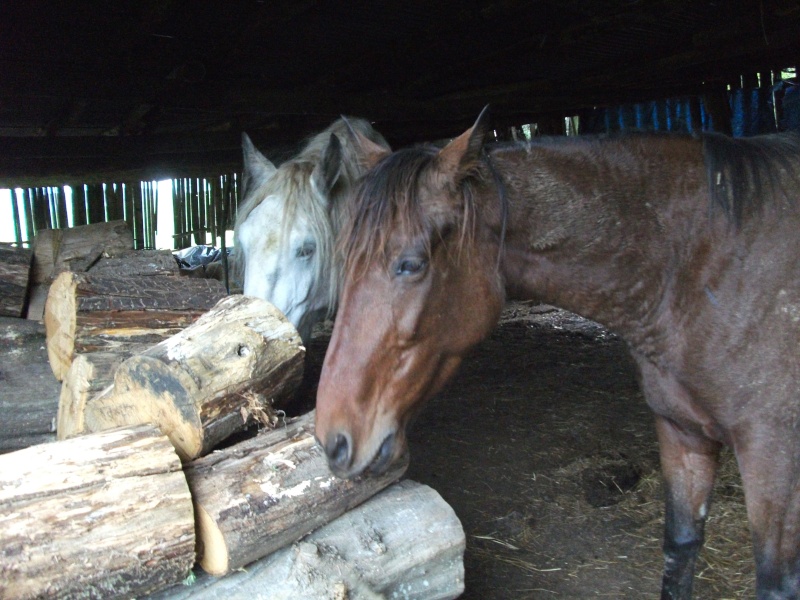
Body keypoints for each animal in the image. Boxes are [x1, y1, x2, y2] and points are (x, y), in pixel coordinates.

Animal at [316, 109, 800, 600]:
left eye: (410, 264)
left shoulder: (775, 460)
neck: (699, 271)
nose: (332, 440)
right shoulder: (681, 433)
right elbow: (679, 548)